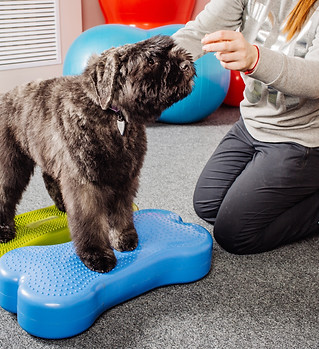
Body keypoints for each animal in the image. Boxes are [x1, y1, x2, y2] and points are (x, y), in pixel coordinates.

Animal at [0, 35, 195, 272]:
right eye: (150, 61)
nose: (186, 65)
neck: (112, 116)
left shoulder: (124, 178)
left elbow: (121, 212)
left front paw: (123, 238)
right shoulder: (85, 184)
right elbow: (89, 221)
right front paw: (96, 254)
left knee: (50, 178)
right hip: (10, 165)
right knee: (5, 193)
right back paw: (4, 229)